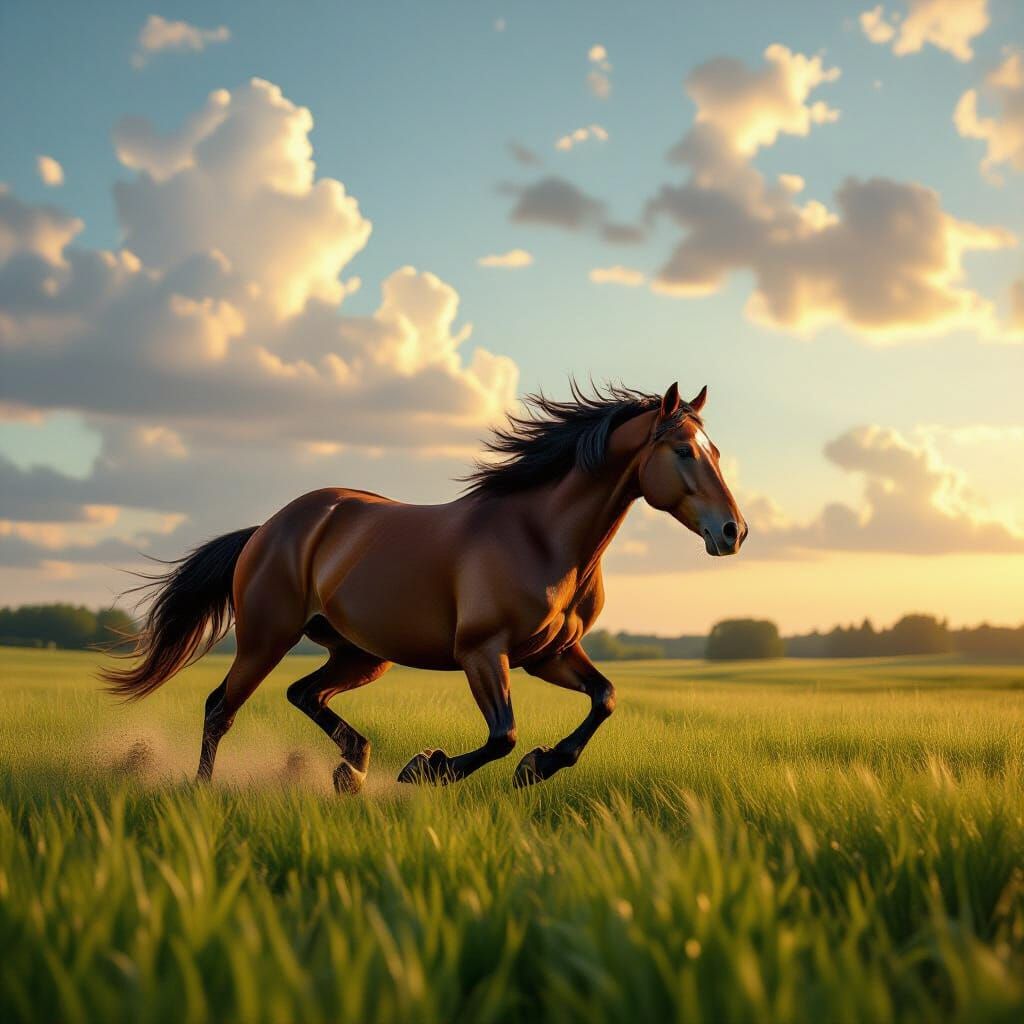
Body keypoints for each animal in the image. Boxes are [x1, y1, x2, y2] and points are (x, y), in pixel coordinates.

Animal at [102, 382, 747, 791]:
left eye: (716, 450)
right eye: (683, 451)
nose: (733, 531)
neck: (541, 536)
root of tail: (269, 527)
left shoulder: (551, 654)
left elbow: (605, 698)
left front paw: (540, 766)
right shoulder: (483, 652)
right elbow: (503, 735)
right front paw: (428, 769)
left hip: (361, 654)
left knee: (303, 693)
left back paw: (353, 768)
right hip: (266, 638)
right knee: (221, 708)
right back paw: (203, 790)